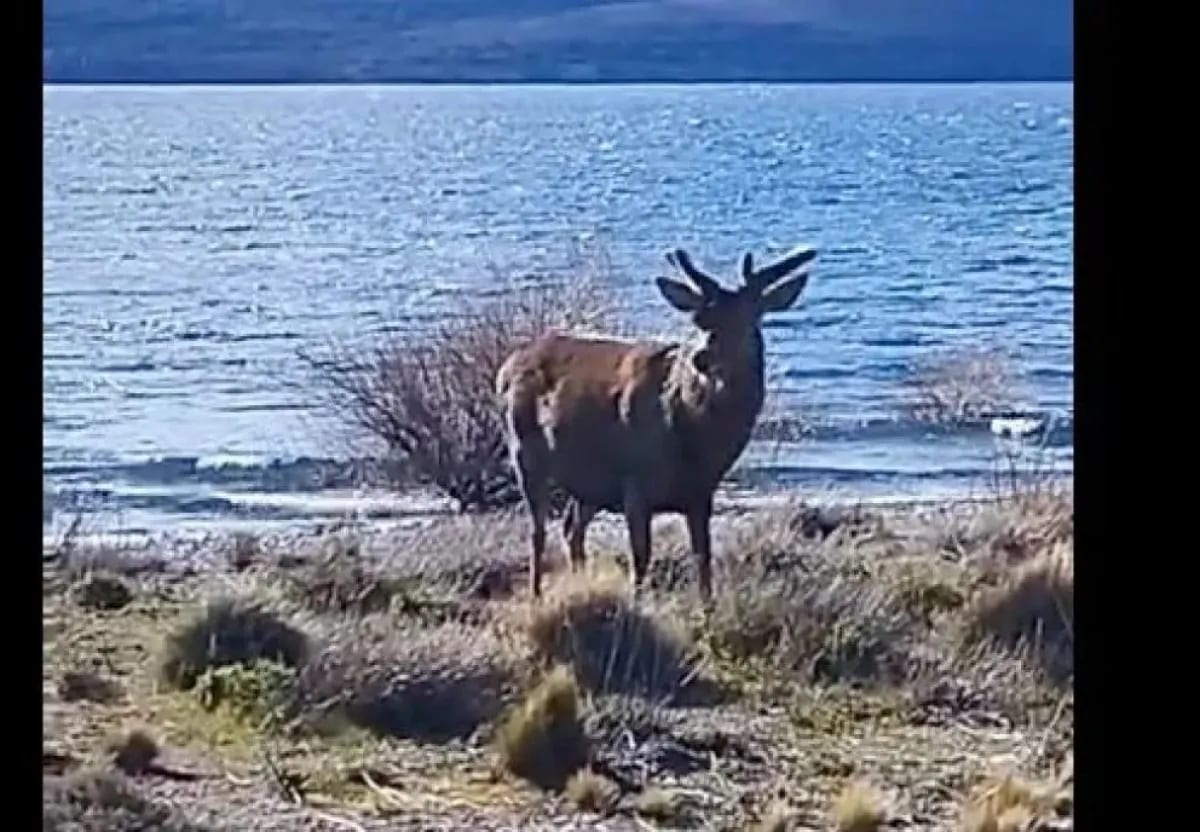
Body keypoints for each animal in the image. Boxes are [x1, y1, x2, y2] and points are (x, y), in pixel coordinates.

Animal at [495, 244, 817, 601]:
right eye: (699, 319)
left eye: (749, 317)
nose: (701, 357)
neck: (693, 439)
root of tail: (507, 366)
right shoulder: (635, 481)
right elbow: (641, 558)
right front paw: (638, 604)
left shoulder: (701, 493)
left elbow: (703, 559)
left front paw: (706, 609)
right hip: (523, 450)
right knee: (538, 530)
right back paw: (536, 595)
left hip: (588, 480)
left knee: (571, 528)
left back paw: (580, 583)